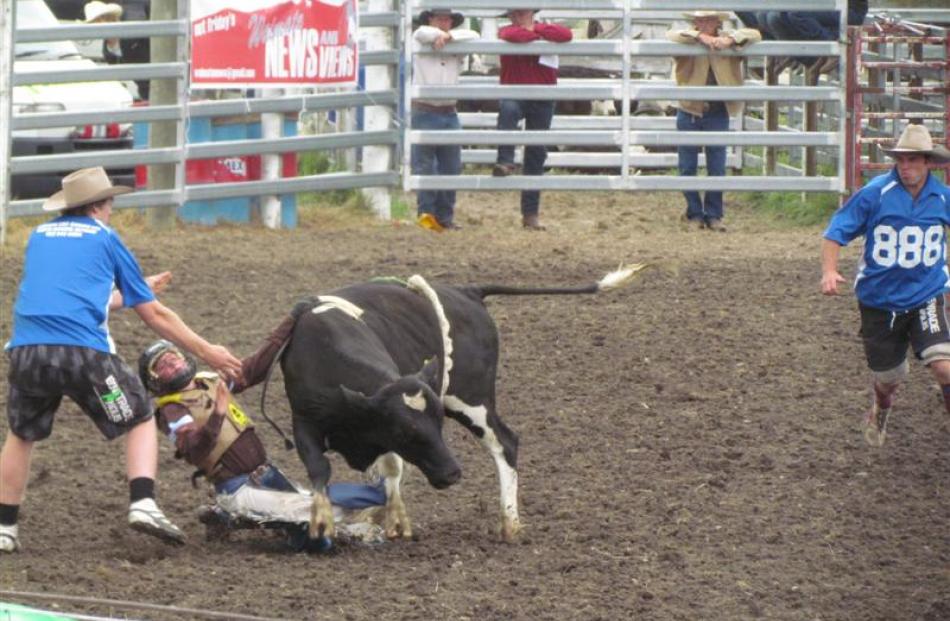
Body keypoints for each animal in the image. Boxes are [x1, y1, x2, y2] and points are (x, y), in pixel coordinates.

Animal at [278, 264, 648, 540]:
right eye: (404, 432)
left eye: (438, 424)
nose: (453, 473)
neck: (327, 347)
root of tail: (467, 292)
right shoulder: (305, 423)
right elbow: (324, 468)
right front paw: (332, 518)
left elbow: (388, 469)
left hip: (472, 400)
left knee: (505, 442)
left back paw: (509, 523)